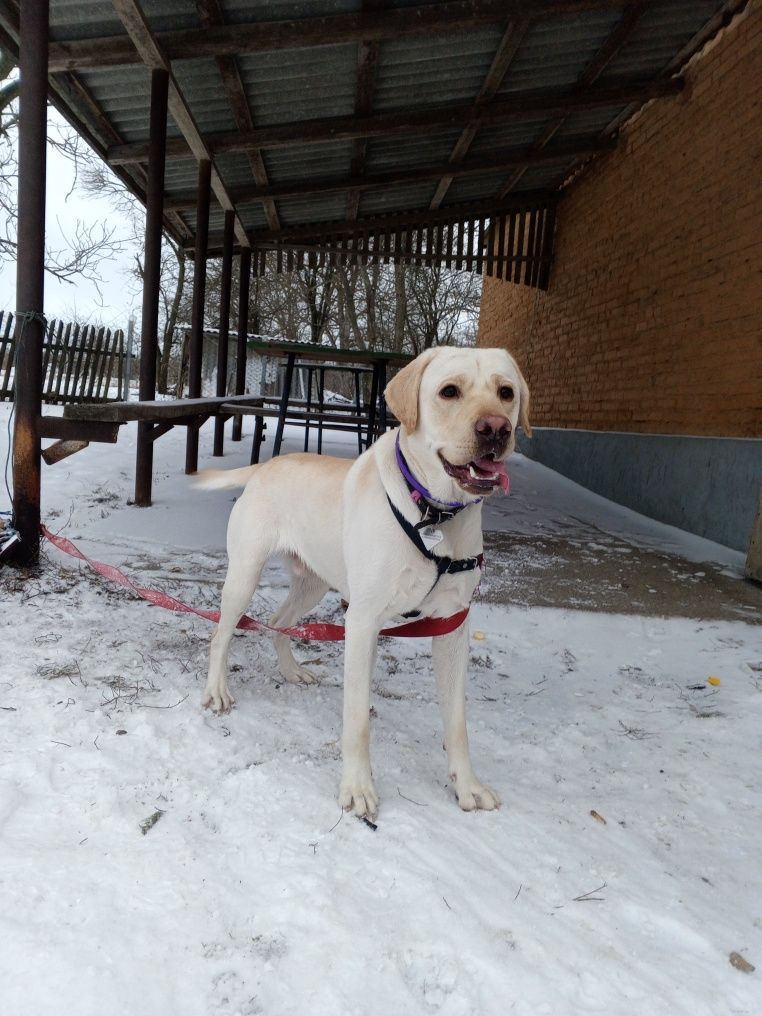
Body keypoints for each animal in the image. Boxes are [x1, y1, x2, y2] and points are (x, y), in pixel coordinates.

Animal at [197, 349, 532, 816]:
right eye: (449, 391)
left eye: (506, 392)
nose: (496, 429)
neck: (433, 511)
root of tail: (266, 465)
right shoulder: (362, 622)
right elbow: (357, 719)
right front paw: (357, 788)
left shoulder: (452, 626)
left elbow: (457, 722)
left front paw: (467, 785)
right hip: (244, 574)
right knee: (221, 634)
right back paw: (217, 690)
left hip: (314, 584)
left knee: (279, 622)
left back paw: (292, 670)